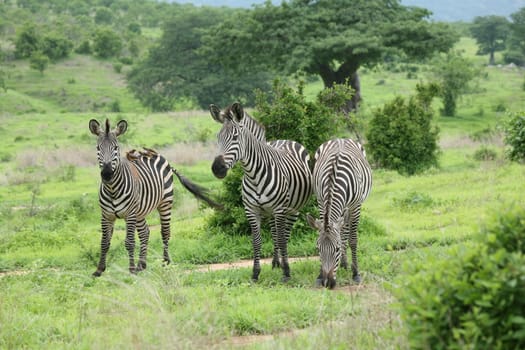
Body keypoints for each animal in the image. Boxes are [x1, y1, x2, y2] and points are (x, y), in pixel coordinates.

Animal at [89, 119, 220, 278]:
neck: (112, 189)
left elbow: (130, 242)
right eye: (98, 148)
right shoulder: (106, 215)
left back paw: (165, 262)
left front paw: (131, 269)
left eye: (116, 148)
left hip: (165, 203)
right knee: (145, 232)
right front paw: (99, 269)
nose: (107, 174)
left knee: (165, 232)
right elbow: (104, 242)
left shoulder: (130, 214)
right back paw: (142, 265)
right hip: (140, 211)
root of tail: (158, 155)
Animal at [209, 102, 314, 282]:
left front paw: (286, 272)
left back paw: (283, 264)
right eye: (218, 137)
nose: (217, 168)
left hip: (292, 209)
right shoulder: (251, 210)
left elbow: (282, 239)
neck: (253, 175)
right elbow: (256, 242)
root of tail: (284, 140)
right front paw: (255, 273)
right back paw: (276, 262)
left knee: (285, 235)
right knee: (274, 233)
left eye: (235, 137)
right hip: (271, 212)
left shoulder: (279, 209)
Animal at [304, 138, 370, 288]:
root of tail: (341, 138)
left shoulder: (355, 206)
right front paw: (319, 276)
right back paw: (344, 265)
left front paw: (356, 274)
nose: (327, 283)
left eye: (337, 249)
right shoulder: (321, 201)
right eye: (318, 249)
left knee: (345, 235)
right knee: (343, 232)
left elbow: (352, 239)